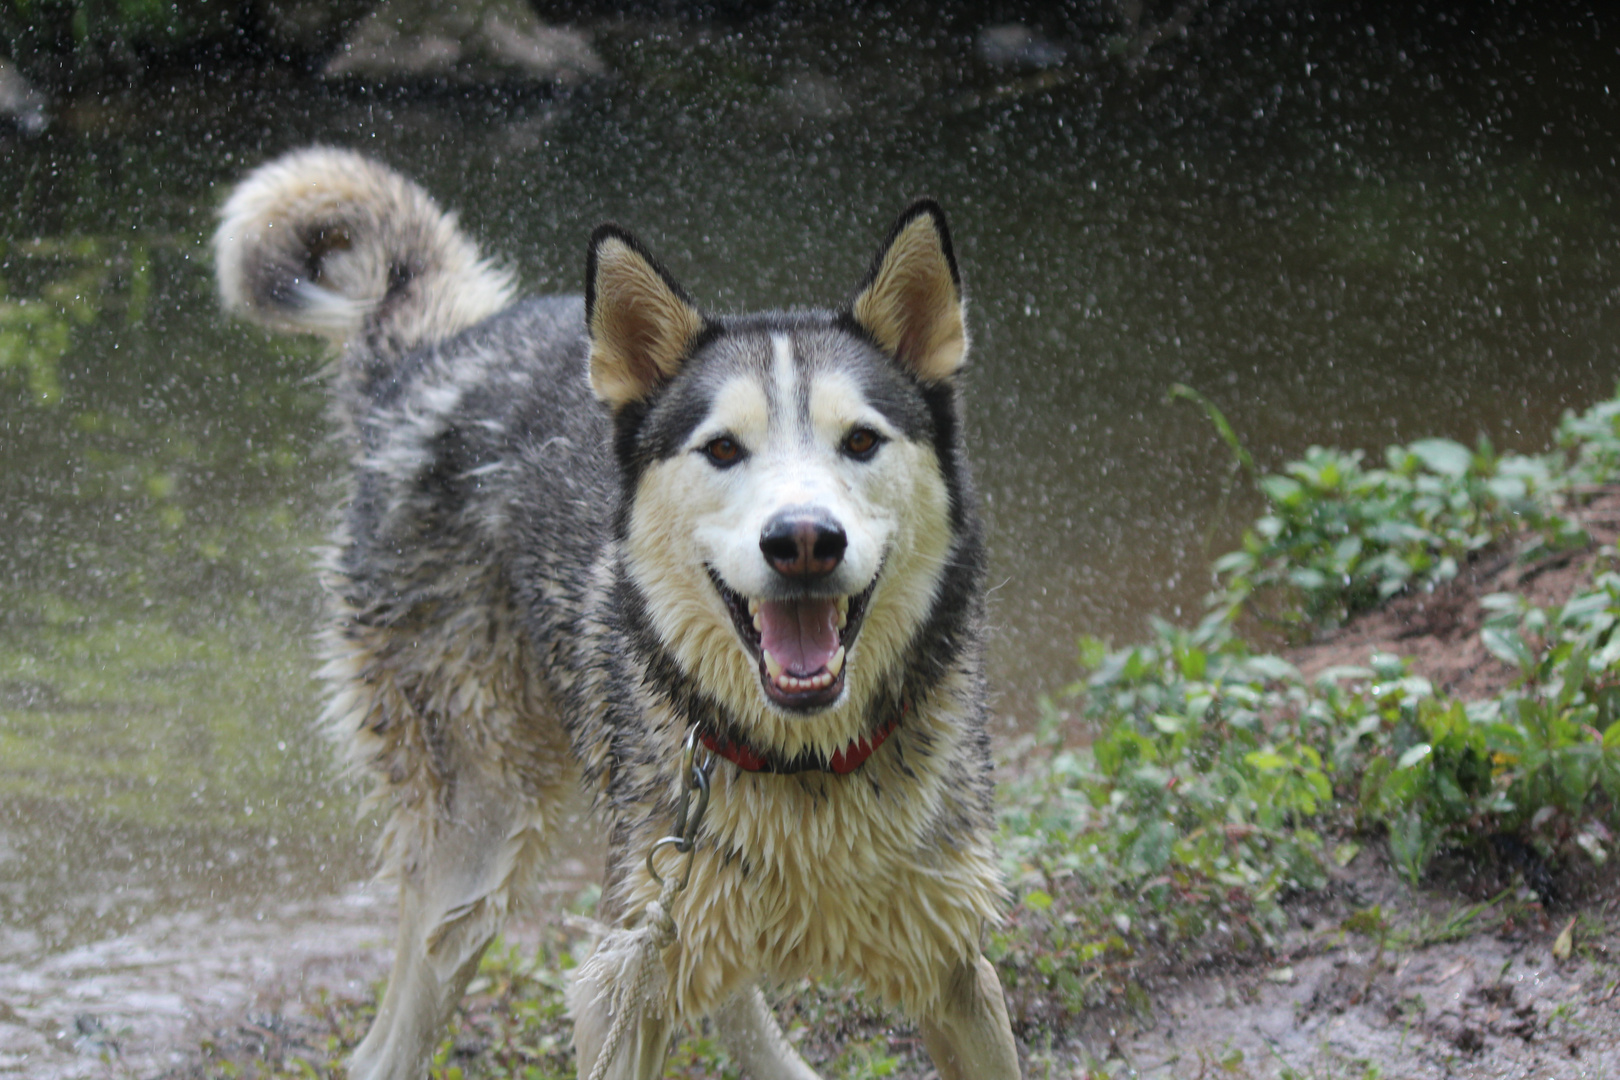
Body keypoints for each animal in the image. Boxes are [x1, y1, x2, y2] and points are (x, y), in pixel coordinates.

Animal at [218, 149, 1010, 1080]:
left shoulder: (957, 970)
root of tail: (432, 354)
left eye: (859, 441)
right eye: (723, 449)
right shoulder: (613, 991)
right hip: (480, 847)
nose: (804, 540)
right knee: (382, 1051)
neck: (804, 765)